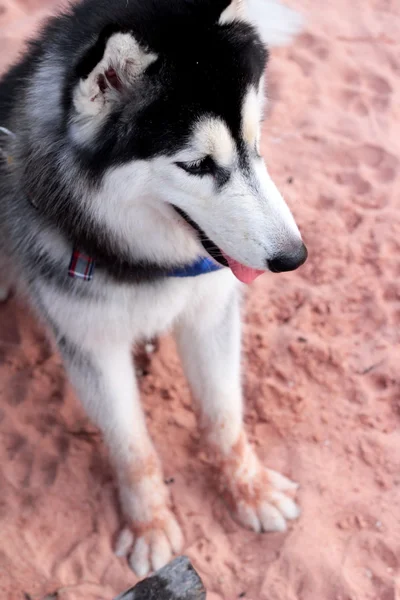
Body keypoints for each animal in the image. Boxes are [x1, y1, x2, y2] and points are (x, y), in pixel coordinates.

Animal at [0, 0, 306, 580]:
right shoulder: (90, 343)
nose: (293, 257)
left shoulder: (210, 316)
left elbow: (224, 416)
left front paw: (250, 491)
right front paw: (149, 527)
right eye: (196, 165)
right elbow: (132, 447)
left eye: (256, 144)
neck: (148, 262)